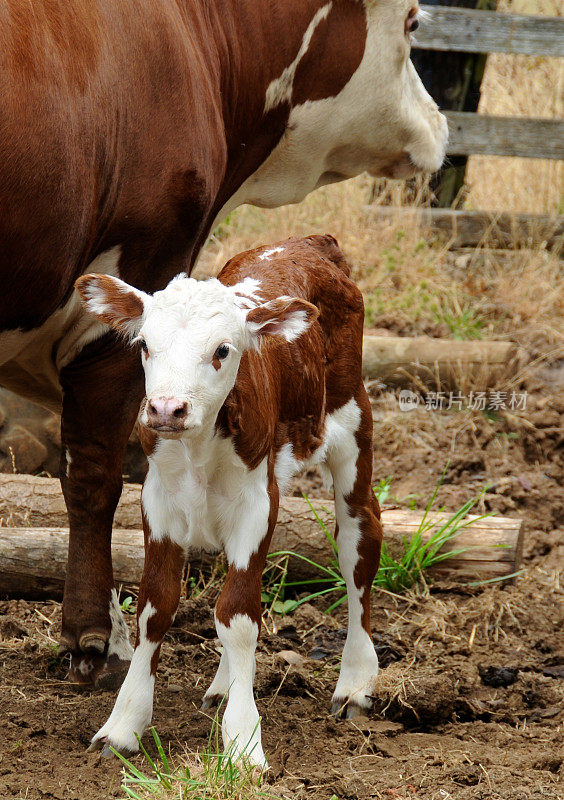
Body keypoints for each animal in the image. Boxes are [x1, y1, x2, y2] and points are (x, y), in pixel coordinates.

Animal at [1, 1, 450, 688]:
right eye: (413, 23)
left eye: (223, 351)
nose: (439, 124)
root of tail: (317, 243)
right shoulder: (134, 278)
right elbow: (94, 478)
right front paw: (95, 637)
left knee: (359, 535)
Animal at [75, 233, 382, 768]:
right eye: (144, 345)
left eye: (222, 349)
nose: (166, 409)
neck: (198, 448)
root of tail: (309, 242)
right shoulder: (159, 502)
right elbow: (156, 607)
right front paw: (124, 724)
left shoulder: (257, 504)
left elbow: (238, 618)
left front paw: (243, 741)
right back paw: (224, 685)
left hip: (350, 422)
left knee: (359, 541)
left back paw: (356, 683)